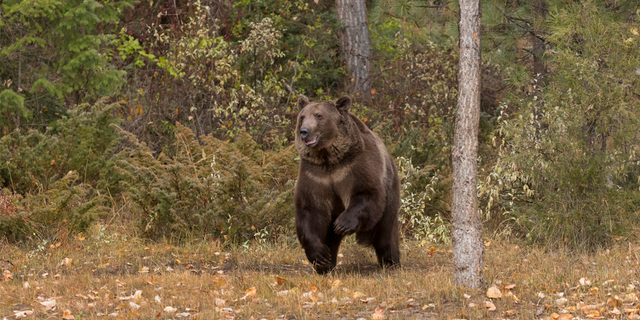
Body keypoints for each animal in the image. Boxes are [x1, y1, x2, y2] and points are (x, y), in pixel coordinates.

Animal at [296, 95, 400, 276]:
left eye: (319, 115)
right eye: (302, 116)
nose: (304, 131)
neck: (329, 159)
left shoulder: (356, 166)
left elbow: (367, 193)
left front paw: (343, 224)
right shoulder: (315, 175)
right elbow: (309, 208)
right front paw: (320, 256)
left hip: (390, 189)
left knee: (386, 233)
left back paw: (391, 261)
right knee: (330, 236)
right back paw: (326, 264)